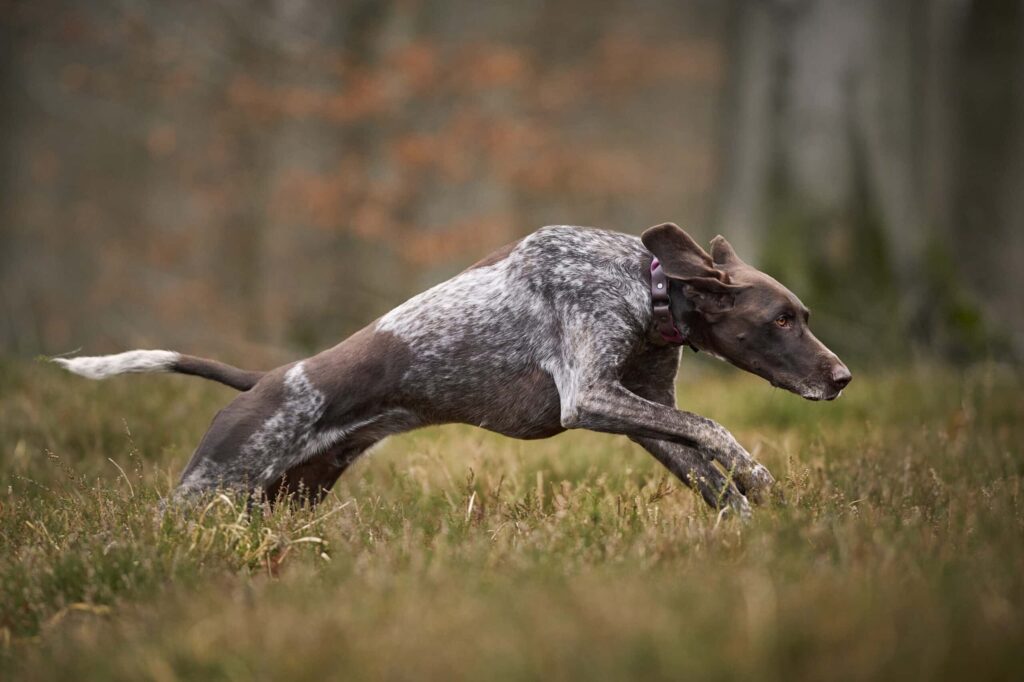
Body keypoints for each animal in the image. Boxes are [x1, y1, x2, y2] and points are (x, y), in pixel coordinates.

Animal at [54, 223, 847, 516]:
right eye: (782, 320)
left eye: (804, 314)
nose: (841, 378)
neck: (646, 286)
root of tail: (264, 381)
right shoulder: (591, 397)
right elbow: (715, 428)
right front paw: (761, 473)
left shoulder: (639, 412)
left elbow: (710, 470)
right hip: (210, 489)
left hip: (286, 497)